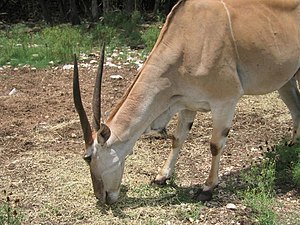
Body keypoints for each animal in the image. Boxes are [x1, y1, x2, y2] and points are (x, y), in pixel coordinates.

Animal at [74, 0, 300, 204]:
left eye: (89, 157)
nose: (101, 197)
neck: (187, 38)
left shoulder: (225, 101)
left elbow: (215, 145)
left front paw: (207, 188)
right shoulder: (186, 103)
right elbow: (177, 138)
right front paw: (162, 176)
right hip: (286, 81)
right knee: (296, 109)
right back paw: (292, 147)